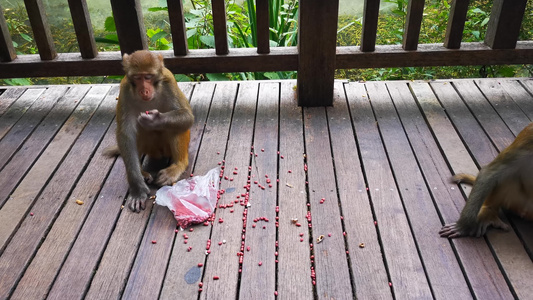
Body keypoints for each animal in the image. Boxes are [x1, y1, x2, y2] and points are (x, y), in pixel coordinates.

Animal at [103, 50, 193, 212]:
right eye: (138, 77)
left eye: (148, 77)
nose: (144, 90)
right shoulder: (124, 88)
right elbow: (126, 134)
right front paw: (137, 188)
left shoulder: (169, 81)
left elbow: (187, 116)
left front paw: (155, 120)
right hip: (152, 149)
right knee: (138, 131)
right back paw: (142, 172)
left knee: (175, 127)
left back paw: (178, 165)